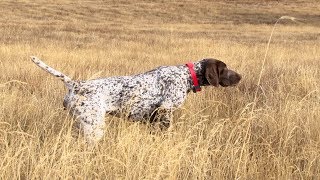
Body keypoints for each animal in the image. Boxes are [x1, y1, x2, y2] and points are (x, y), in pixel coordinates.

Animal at [30, 57, 240, 144]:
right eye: (224, 68)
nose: (240, 77)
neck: (187, 76)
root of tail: (76, 85)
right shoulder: (165, 113)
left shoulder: (153, 119)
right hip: (94, 127)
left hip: (81, 124)